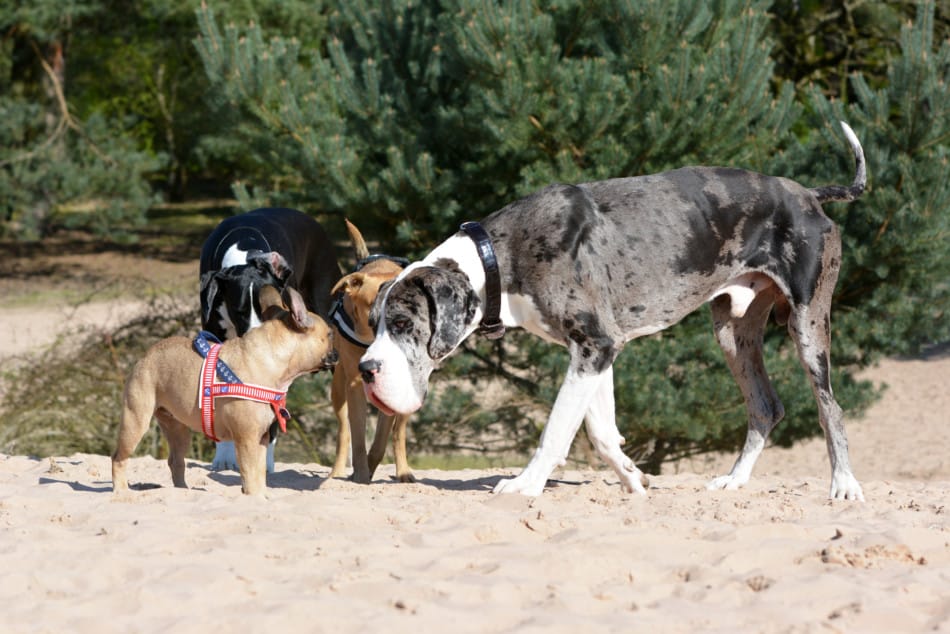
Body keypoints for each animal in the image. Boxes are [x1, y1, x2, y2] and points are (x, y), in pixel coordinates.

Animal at [112, 286, 338, 494]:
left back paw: (183, 490)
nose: (337, 353)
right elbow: (250, 475)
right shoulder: (247, 439)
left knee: (176, 460)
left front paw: (261, 499)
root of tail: (147, 355)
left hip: (177, 428)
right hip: (136, 420)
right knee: (119, 458)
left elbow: (259, 477)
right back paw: (121, 492)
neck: (275, 357)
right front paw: (254, 498)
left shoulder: (261, 439)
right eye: (329, 334)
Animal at [330, 220, 414, 482]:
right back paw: (337, 473)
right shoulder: (354, 384)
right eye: (375, 303)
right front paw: (360, 473)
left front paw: (397, 470)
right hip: (338, 386)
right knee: (343, 431)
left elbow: (387, 437)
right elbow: (357, 437)